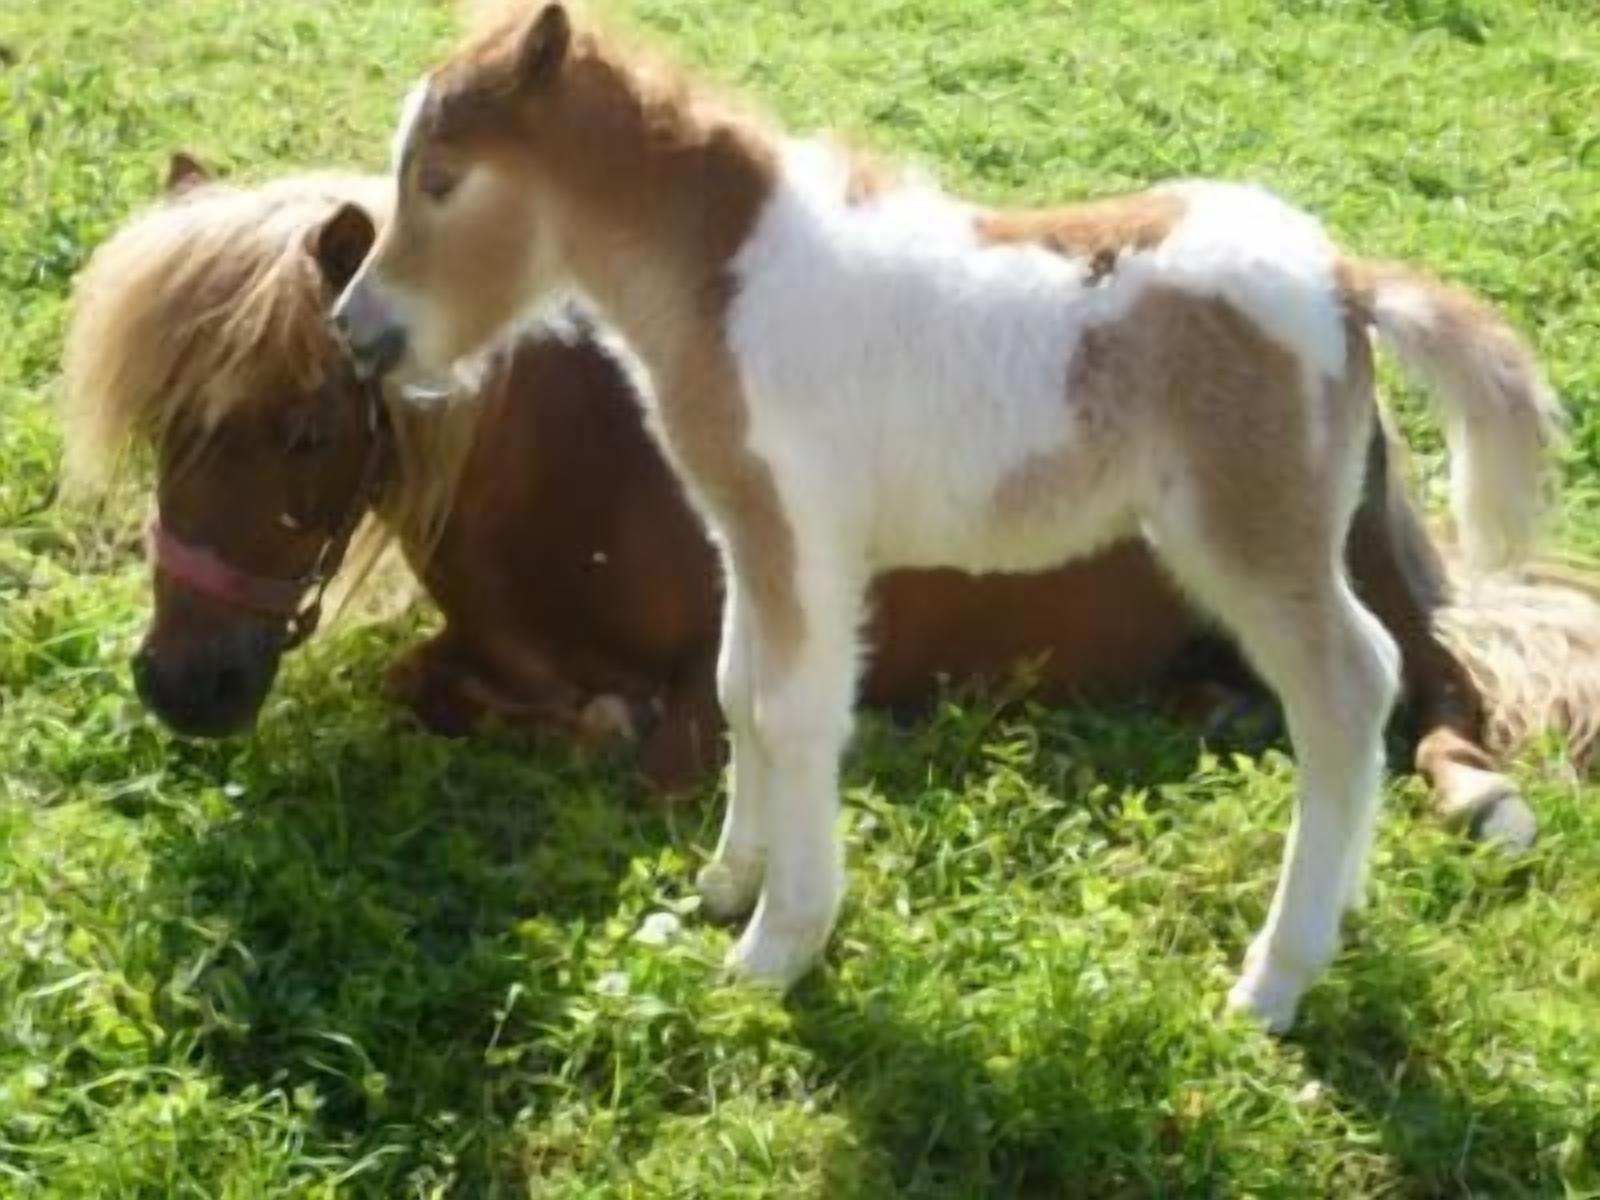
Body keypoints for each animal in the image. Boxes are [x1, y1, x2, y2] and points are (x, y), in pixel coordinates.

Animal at [330, 2, 1565, 1031]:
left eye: (441, 180)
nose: (356, 329)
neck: (725, 287)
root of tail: (1346, 282)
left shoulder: (808, 540)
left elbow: (794, 712)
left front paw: (778, 947)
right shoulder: (749, 536)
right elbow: (736, 690)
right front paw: (728, 882)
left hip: (1250, 536)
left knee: (1352, 688)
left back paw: (1274, 981)